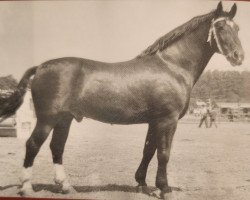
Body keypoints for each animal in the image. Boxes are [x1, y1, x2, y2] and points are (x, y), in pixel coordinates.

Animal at [0, 1, 244, 200]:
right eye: (221, 28)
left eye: (238, 28)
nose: (238, 56)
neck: (172, 66)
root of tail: (41, 66)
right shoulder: (168, 120)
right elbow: (164, 153)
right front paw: (164, 189)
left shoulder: (154, 121)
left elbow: (148, 150)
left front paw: (142, 184)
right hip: (47, 119)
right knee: (32, 145)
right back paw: (26, 188)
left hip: (64, 119)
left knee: (56, 147)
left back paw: (66, 186)